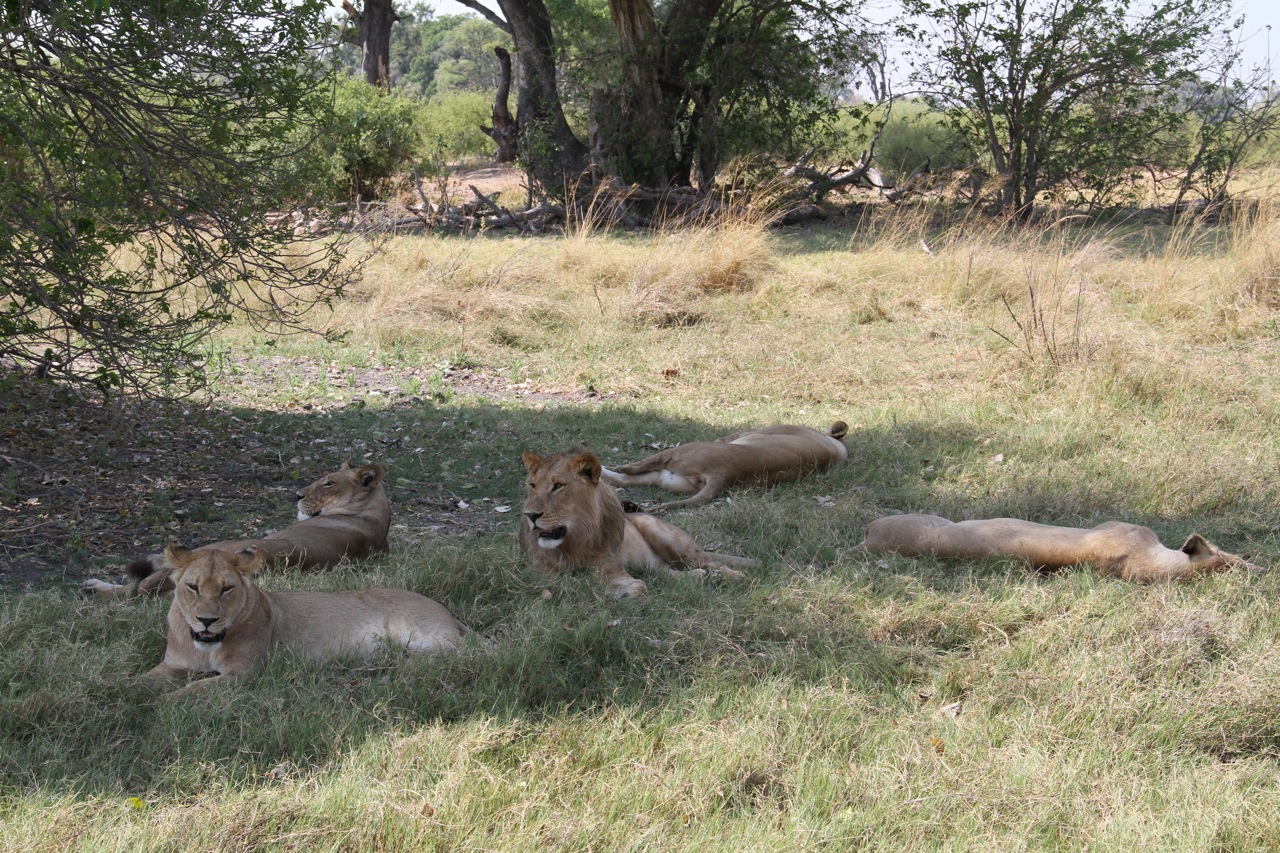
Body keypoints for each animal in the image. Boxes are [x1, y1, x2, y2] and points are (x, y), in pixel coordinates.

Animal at [144, 540, 471, 696]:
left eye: (226, 588)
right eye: (193, 587)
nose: (207, 620)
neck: (204, 648)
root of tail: (447, 612)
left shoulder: (245, 673)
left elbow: (191, 691)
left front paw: (161, 705)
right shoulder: (172, 665)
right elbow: (141, 681)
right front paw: (134, 699)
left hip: (421, 634)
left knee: (463, 655)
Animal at [519, 445, 757, 596]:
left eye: (558, 486)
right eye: (532, 485)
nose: (530, 515)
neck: (572, 542)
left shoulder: (612, 566)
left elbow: (627, 583)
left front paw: (621, 591)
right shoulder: (540, 576)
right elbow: (567, 581)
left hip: (667, 536)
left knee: (709, 561)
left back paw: (733, 575)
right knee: (666, 574)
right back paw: (702, 577)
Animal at [599, 420, 849, 507]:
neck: (836, 448)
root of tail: (725, 474)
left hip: (682, 452)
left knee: (630, 469)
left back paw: (608, 465)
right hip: (668, 478)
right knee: (625, 479)